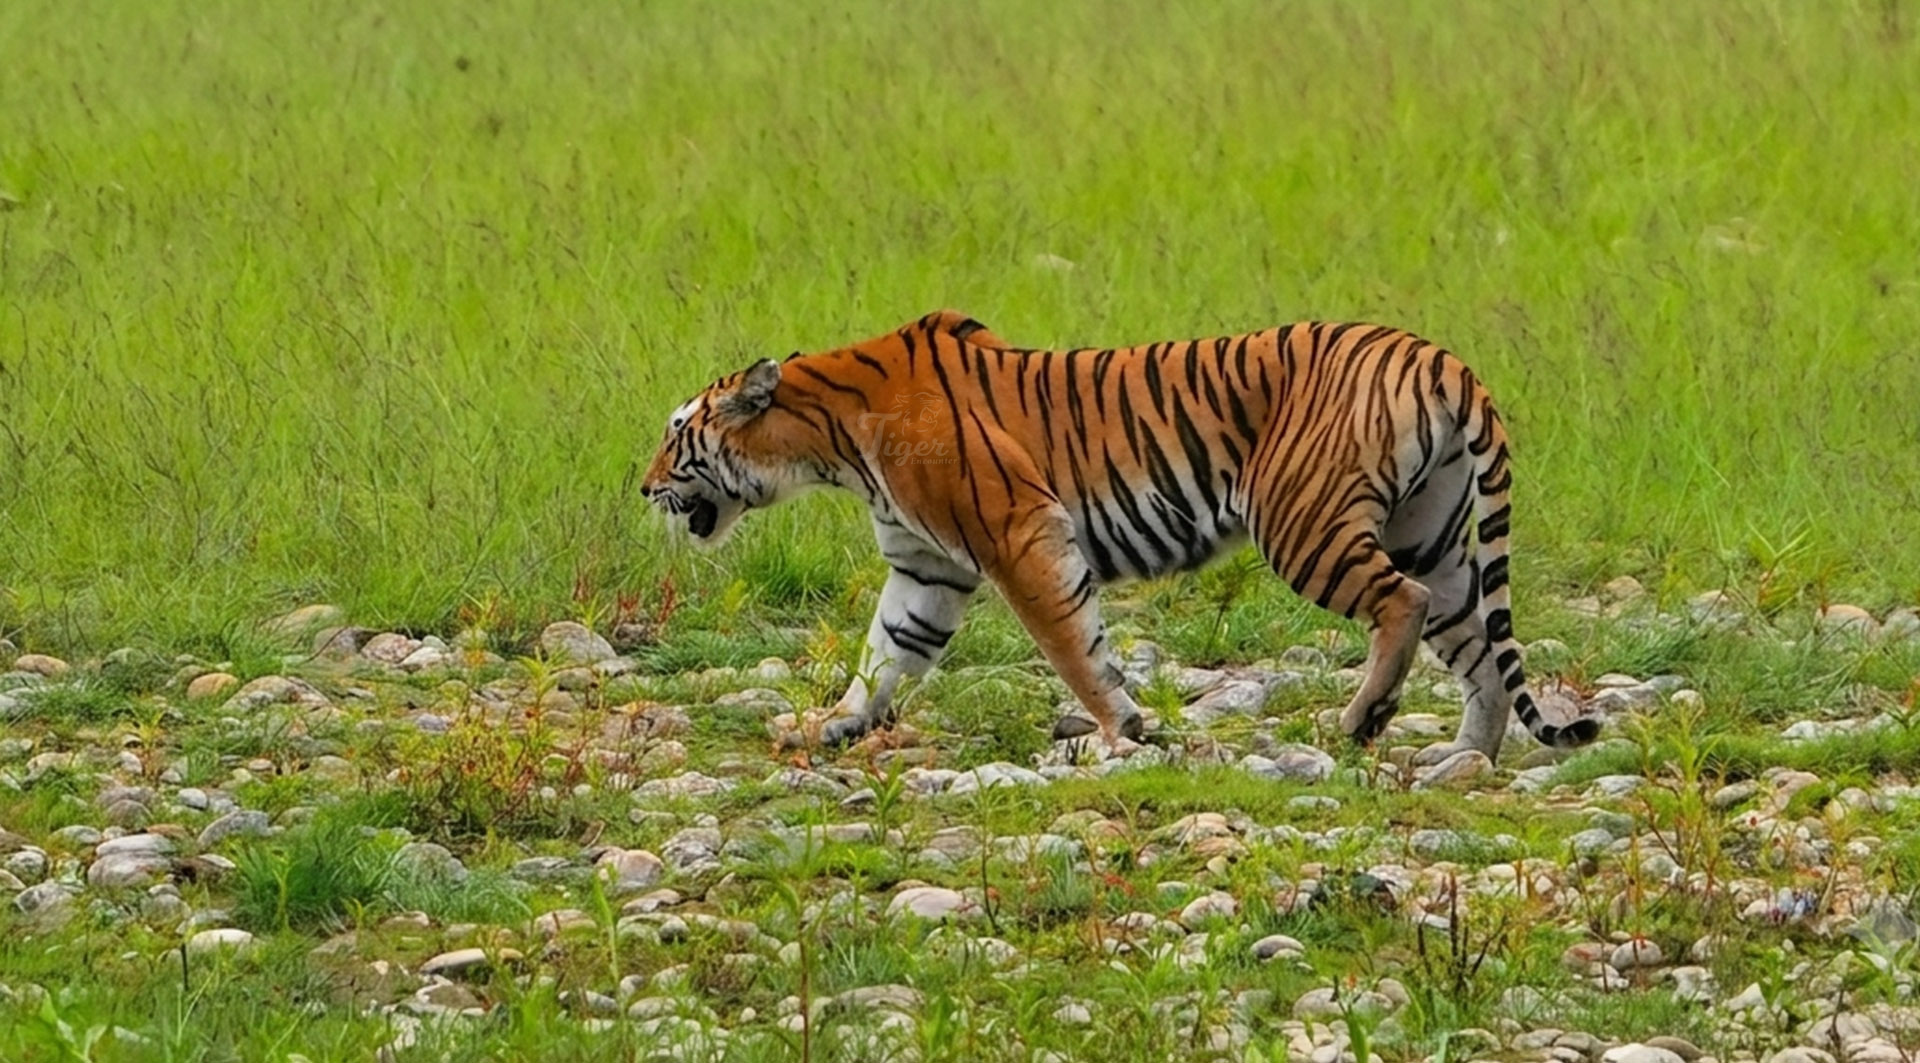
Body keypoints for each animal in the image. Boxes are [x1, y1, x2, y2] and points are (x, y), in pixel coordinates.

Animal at [640, 311, 1599, 765]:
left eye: (675, 434)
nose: (644, 487)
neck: (829, 440)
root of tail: (1442, 357)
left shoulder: (1019, 533)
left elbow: (1071, 642)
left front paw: (1119, 729)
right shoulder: (927, 568)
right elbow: (886, 654)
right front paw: (833, 727)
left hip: (1303, 519)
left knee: (1402, 605)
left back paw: (1365, 718)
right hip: (1428, 530)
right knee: (1475, 644)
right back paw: (1464, 756)